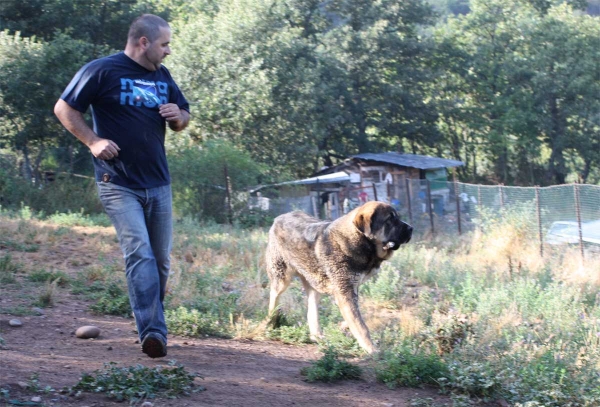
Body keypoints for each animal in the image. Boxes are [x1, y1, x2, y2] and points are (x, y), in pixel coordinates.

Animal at [266, 201, 412, 354]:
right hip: (281, 279)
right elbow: (361, 325)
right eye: (389, 219)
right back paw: (270, 323)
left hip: (315, 284)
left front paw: (343, 326)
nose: (411, 228)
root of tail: (279, 217)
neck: (358, 240)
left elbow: (355, 318)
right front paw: (371, 349)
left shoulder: (350, 289)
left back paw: (317, 336)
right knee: (273, 299)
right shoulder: (345, 291)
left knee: (312, 311)